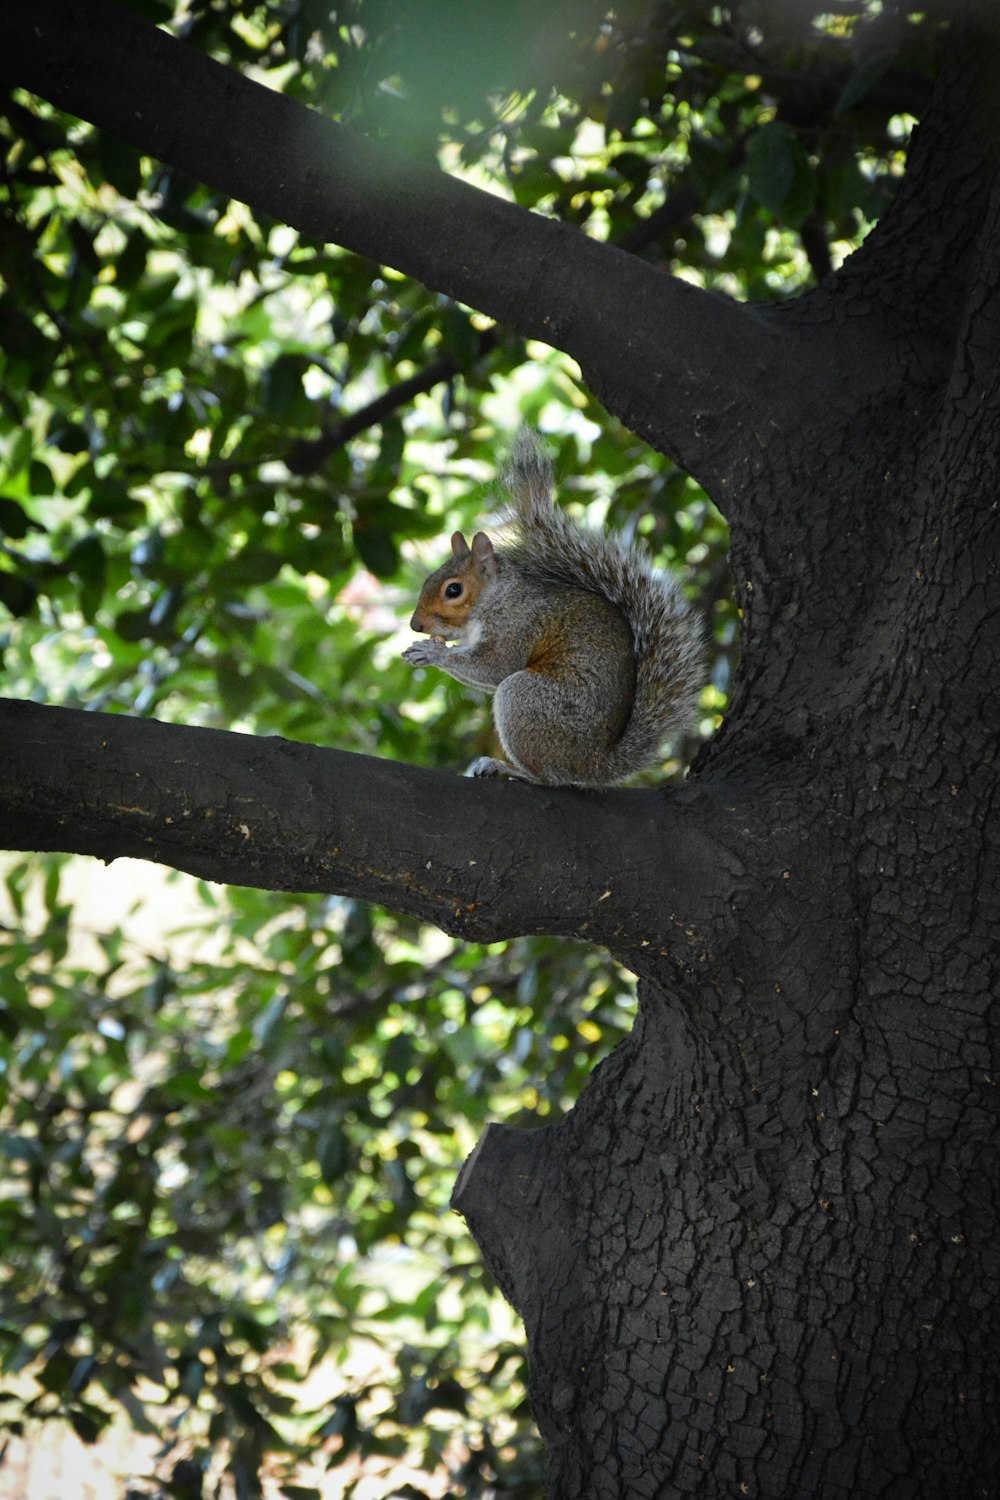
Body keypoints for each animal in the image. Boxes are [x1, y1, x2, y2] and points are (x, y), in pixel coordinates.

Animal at [398, 426, 704, 786]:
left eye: (454, 590)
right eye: (428, 578)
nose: (416, 625)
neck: (496, 598)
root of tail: (593, 764)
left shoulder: (518, 623)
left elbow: (496, 666)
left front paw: (431, 652)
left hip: (526, 699)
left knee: (547, 776)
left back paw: (509, 768)